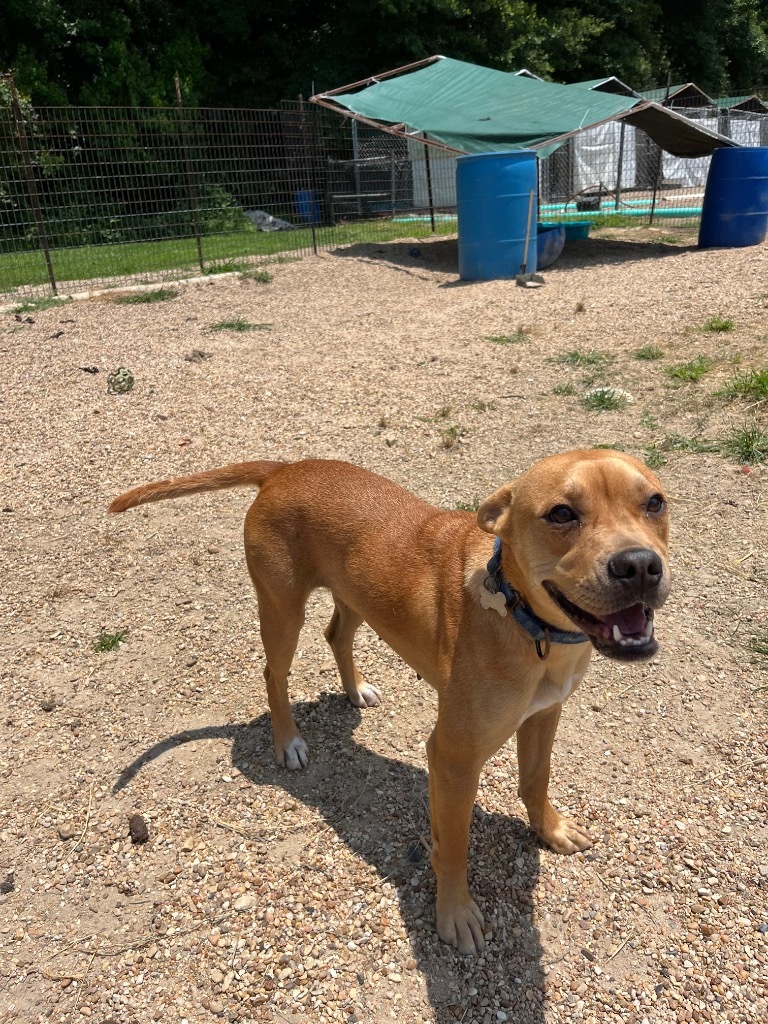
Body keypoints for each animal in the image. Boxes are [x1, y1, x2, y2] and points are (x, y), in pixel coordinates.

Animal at [108, 452, 667, 954]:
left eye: (655, 502)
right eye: (561, 514)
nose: (640, 566)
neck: (527, 620)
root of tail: (286, 467)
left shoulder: (545, 715)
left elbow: (536, 779)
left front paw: (550, 828)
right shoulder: (453, 758)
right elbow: (453, 845)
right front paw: (455, 914)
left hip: (358, 596)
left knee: (336, 635)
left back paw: (356, 690)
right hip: (282, 608)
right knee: (275, 672)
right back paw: (288, 742)